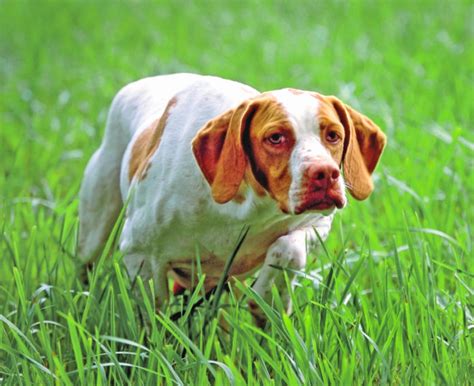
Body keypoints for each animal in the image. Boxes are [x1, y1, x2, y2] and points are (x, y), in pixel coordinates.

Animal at [78, 74, 386, 322]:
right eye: (276, 137)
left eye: (333, 135)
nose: (325, 174)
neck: (245, 206)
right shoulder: (138, 252)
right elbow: (152, 320)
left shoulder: (315, 223)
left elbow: (290, 249)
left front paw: (268, 297)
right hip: (94, 230)